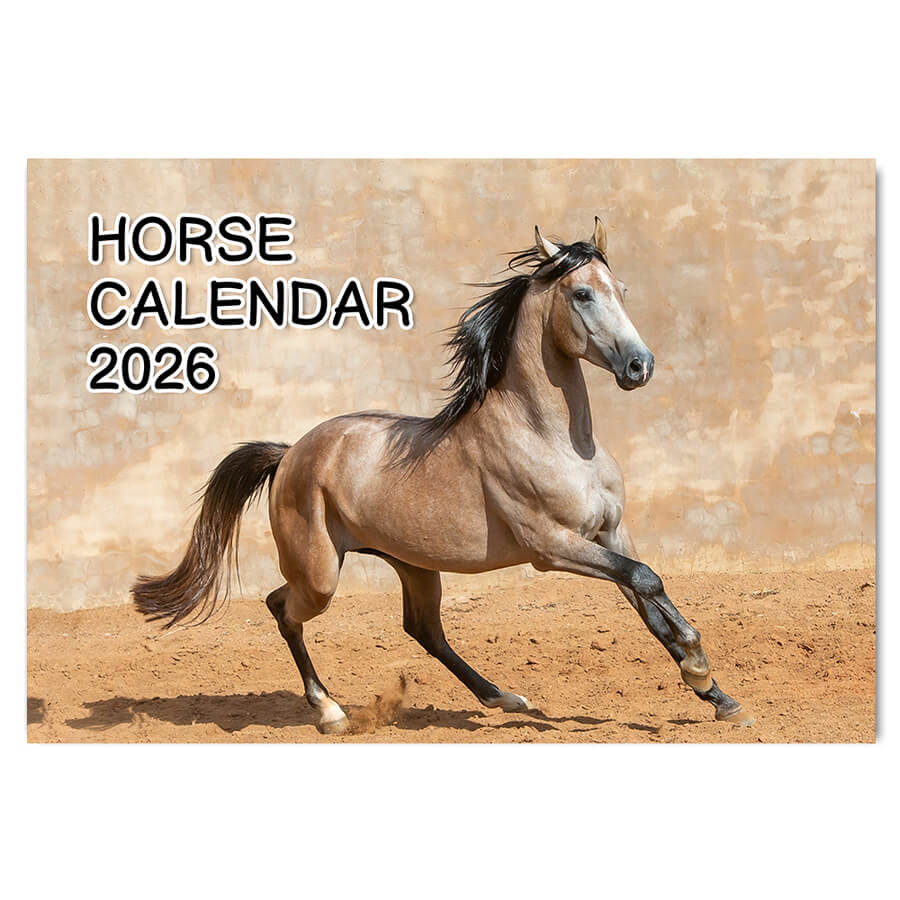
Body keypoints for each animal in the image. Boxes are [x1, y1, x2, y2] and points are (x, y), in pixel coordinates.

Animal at [132, 217, 753, 734]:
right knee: (281, 608)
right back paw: (331, 712)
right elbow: (647, 580)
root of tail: (290, 455)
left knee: (422, 629)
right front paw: (700, 669)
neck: (553, 439)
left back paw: (503, 698)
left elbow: (649, 597)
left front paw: (718, 696)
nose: (639, 366)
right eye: (582, 293)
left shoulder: (609, 533)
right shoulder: (551, 547)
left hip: (413, 565)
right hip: (320, 573)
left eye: (620, 290)